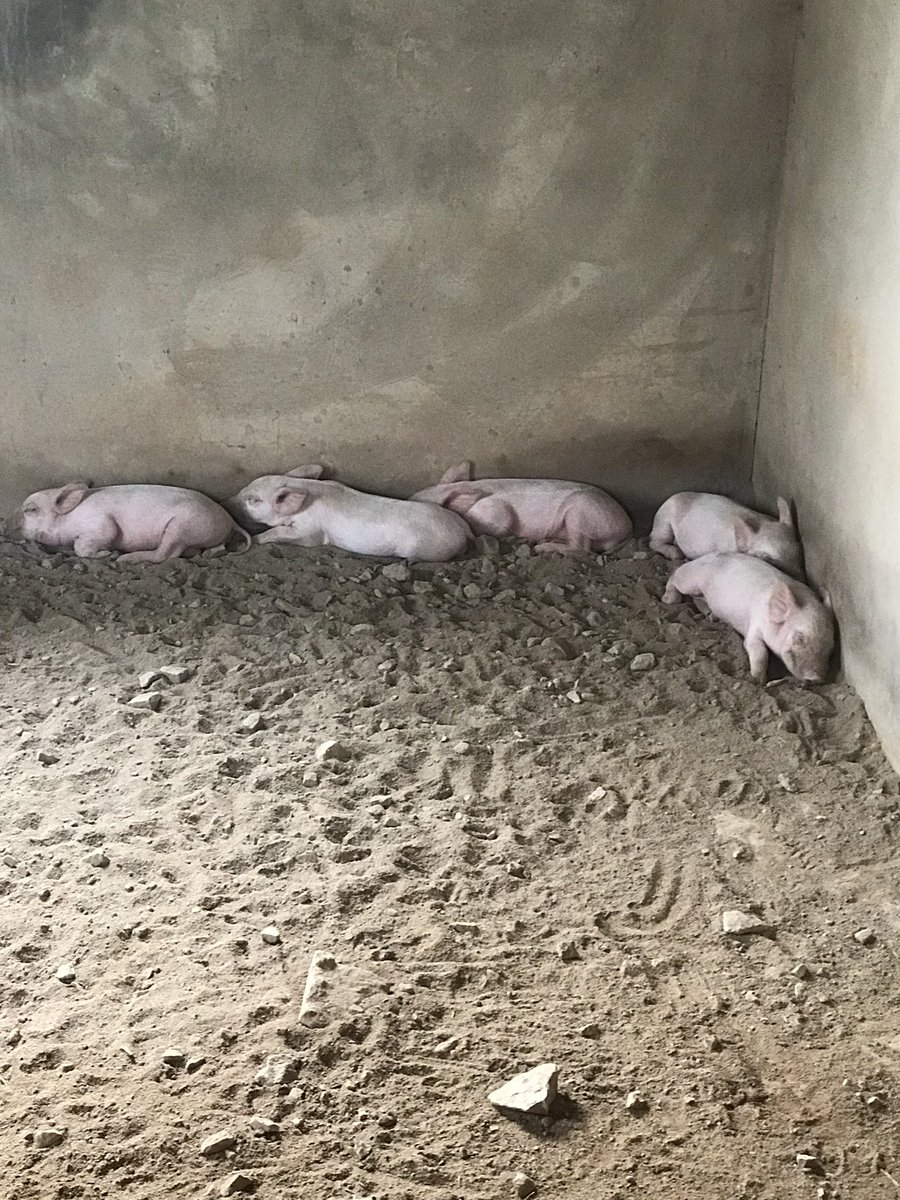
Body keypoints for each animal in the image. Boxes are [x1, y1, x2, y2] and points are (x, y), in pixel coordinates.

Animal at [11, 482, 250, 562]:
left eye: (30, 510)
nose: (9, 526)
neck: (70, 517)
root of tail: (230, 520)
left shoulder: (99, 524)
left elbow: (88, 542)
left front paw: (109, 554)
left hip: (183, 525)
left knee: (166, 554)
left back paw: (124, 559)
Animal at [226, 470, 472, 561]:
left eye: (253, 500)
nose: (227, 501)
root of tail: (464, 530)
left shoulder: (311, 531)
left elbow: (284, 533)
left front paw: (254, 539)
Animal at [411, 461, 632, 553]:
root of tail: (626, 528)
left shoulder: (495, 510)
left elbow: (503, 520)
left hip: (580, 512)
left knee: (582, 549)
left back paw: (541, 547)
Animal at [650, 492, 803, 578]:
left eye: (799, 552)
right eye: (767, 559)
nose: (799, 579)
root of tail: (671, 497)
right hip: (663, 521)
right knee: (654, 541)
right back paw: (676, 553)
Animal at [662, 552, 834, 682]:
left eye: (830, 647)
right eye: (799, 637)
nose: (816, 678)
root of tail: (704, 557)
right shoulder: (756, 624)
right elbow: (757, 649)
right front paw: (758, 680)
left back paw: (711, 616)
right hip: (691, 579)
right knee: (674, 577)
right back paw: (668, 599)